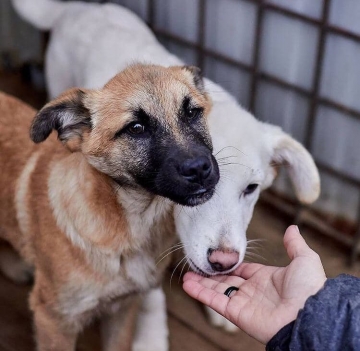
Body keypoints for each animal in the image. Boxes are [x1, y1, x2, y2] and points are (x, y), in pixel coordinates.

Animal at [0, 64, 218, 351]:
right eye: (136, 128)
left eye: (192, 112)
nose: (200, 169)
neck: (131, 225)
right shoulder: (56, 320)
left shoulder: (124, 308)